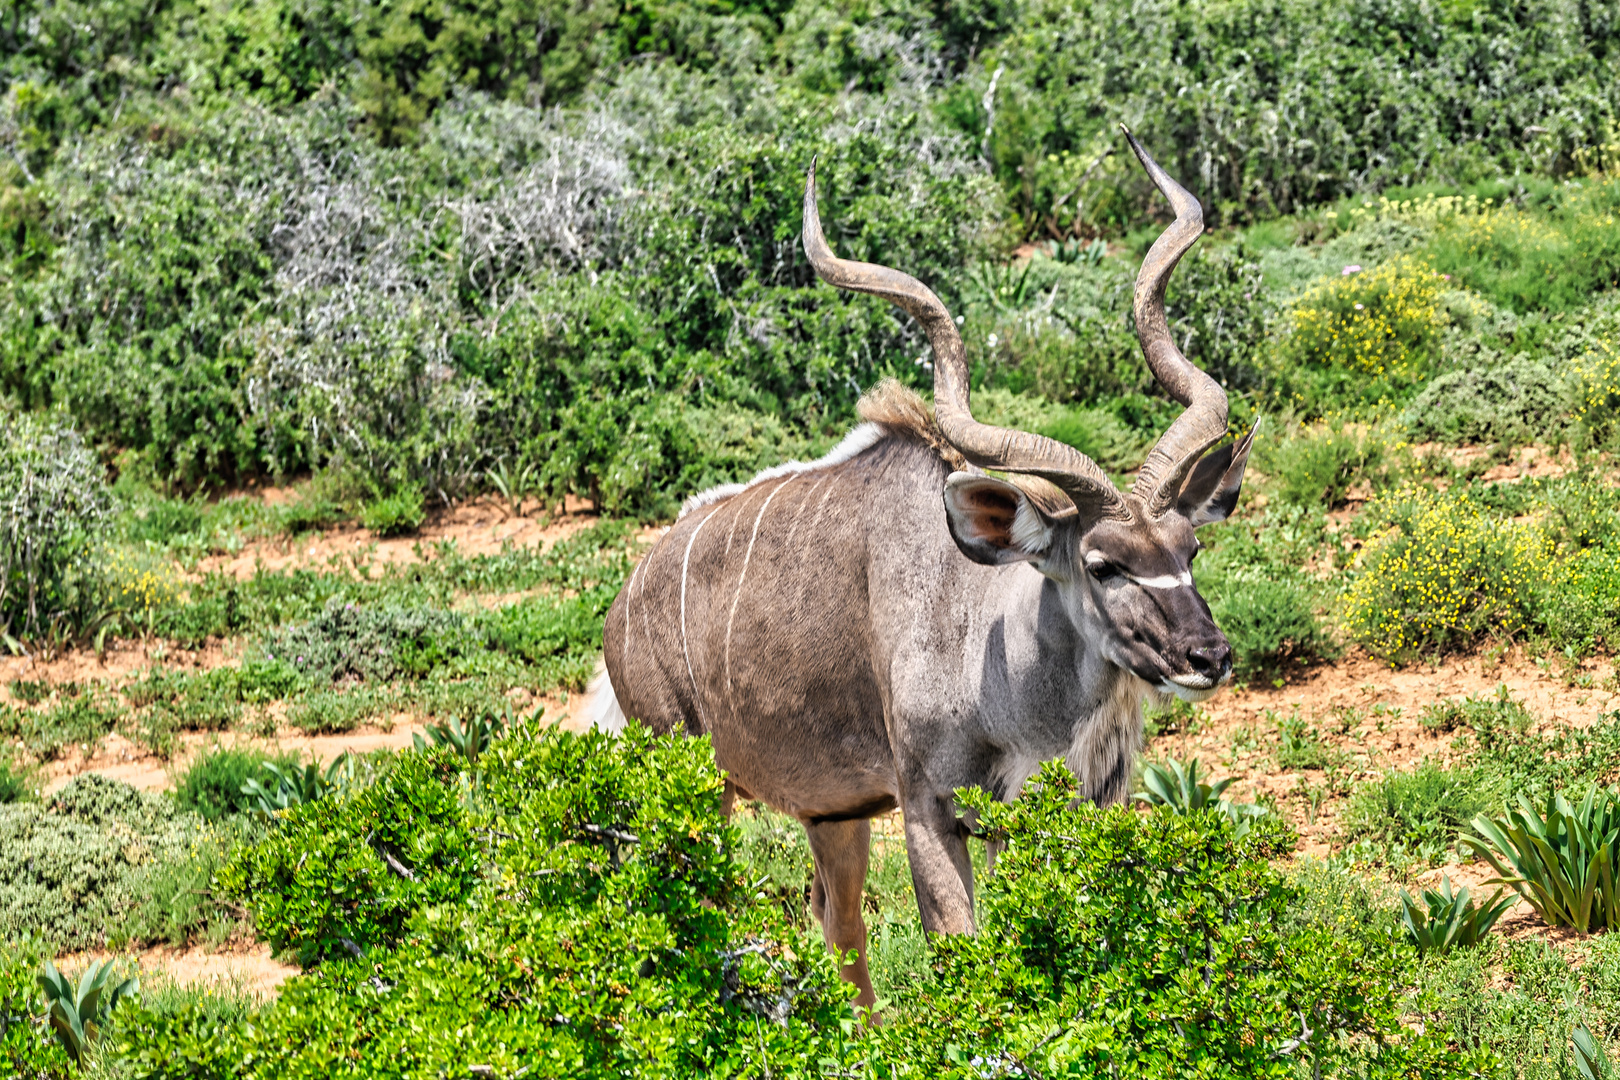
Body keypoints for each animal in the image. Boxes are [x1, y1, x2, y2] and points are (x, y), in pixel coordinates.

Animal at [596, 131, 1250, 1010]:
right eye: (1104, 564)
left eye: (1190, 551)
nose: (1205, 657)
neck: (990, 644)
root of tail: (621, 609)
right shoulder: (927, 810)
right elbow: (960, 955)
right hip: (692, 784)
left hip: (832, 814)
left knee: (838, 922)